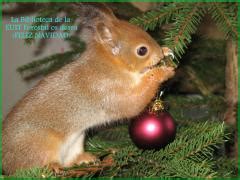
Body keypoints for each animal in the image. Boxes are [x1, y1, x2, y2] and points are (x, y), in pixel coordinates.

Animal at [2, 3, 176, 174]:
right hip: (40, 146)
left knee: (70, 161)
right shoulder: (105, 89)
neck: (110, 64)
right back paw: (51, 167)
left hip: (75, 142)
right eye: (142, 50)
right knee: (33, 166)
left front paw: (166, 50)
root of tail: (6, 162)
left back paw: (86, 160)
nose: (159, 55)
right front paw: (162, 72)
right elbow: (132, 104)